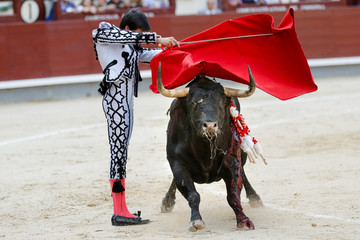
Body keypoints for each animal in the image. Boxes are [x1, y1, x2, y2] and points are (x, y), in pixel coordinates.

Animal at [157, 64, 262, 232]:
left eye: (220, 103)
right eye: (193, 103)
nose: (210, 125)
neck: (204, 150)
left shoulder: (232, 161)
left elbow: (233, 195)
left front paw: (243, 219)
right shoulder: (178, 163)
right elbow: (193, 195)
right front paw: (196, 220)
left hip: (243, 155)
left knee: (244, 173)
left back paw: (255, 198)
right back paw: (167, 202)